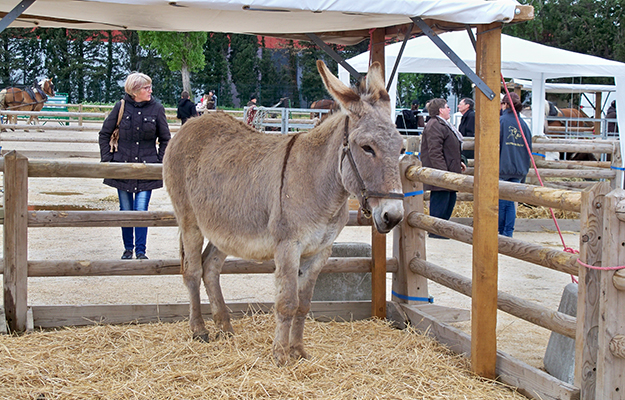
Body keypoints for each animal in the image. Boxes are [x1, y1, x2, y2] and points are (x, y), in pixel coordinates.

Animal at [162, 60, 404, 366]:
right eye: (367, 148)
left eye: (402, 148)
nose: (393, 216)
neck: (320, 183)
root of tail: (193, 123)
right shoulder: (288, 246)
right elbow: (287, 302)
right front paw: (280, 355)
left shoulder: (320, 252)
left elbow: (304, 304)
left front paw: (298, 351)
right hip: (189, 221)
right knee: (192, 270)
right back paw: (199, 330)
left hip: (224, 228)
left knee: (210, 268)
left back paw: (225, 326)